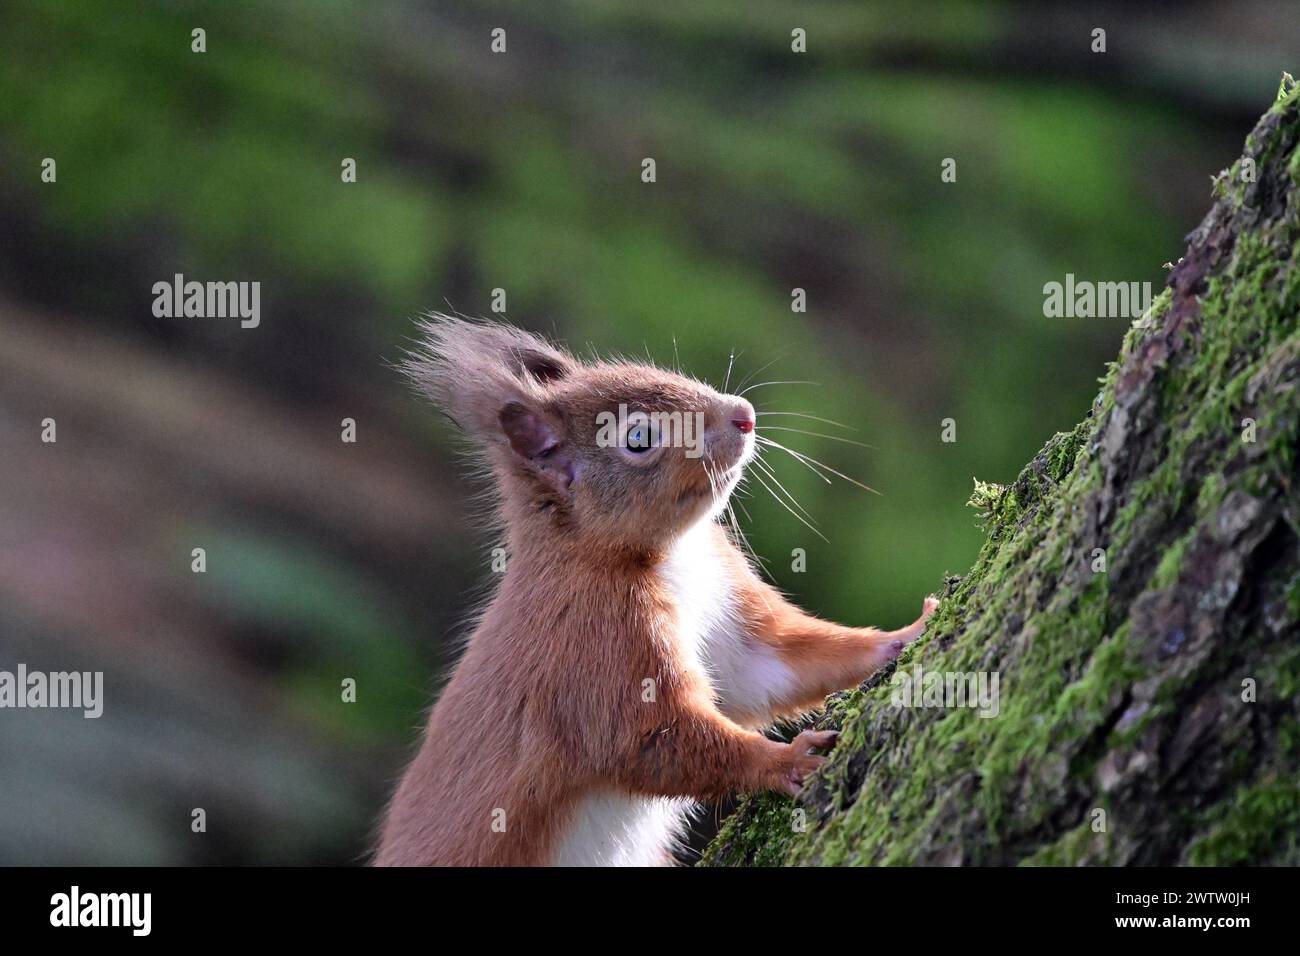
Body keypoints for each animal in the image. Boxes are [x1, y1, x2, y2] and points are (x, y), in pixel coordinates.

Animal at [377, 316, 935, 868]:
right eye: (639, 437)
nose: (744, 415)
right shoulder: (593, 644)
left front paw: (909, 633)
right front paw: (788, 761)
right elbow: (649, 740)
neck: (672, 556)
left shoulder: (730, 610)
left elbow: (779, 666)